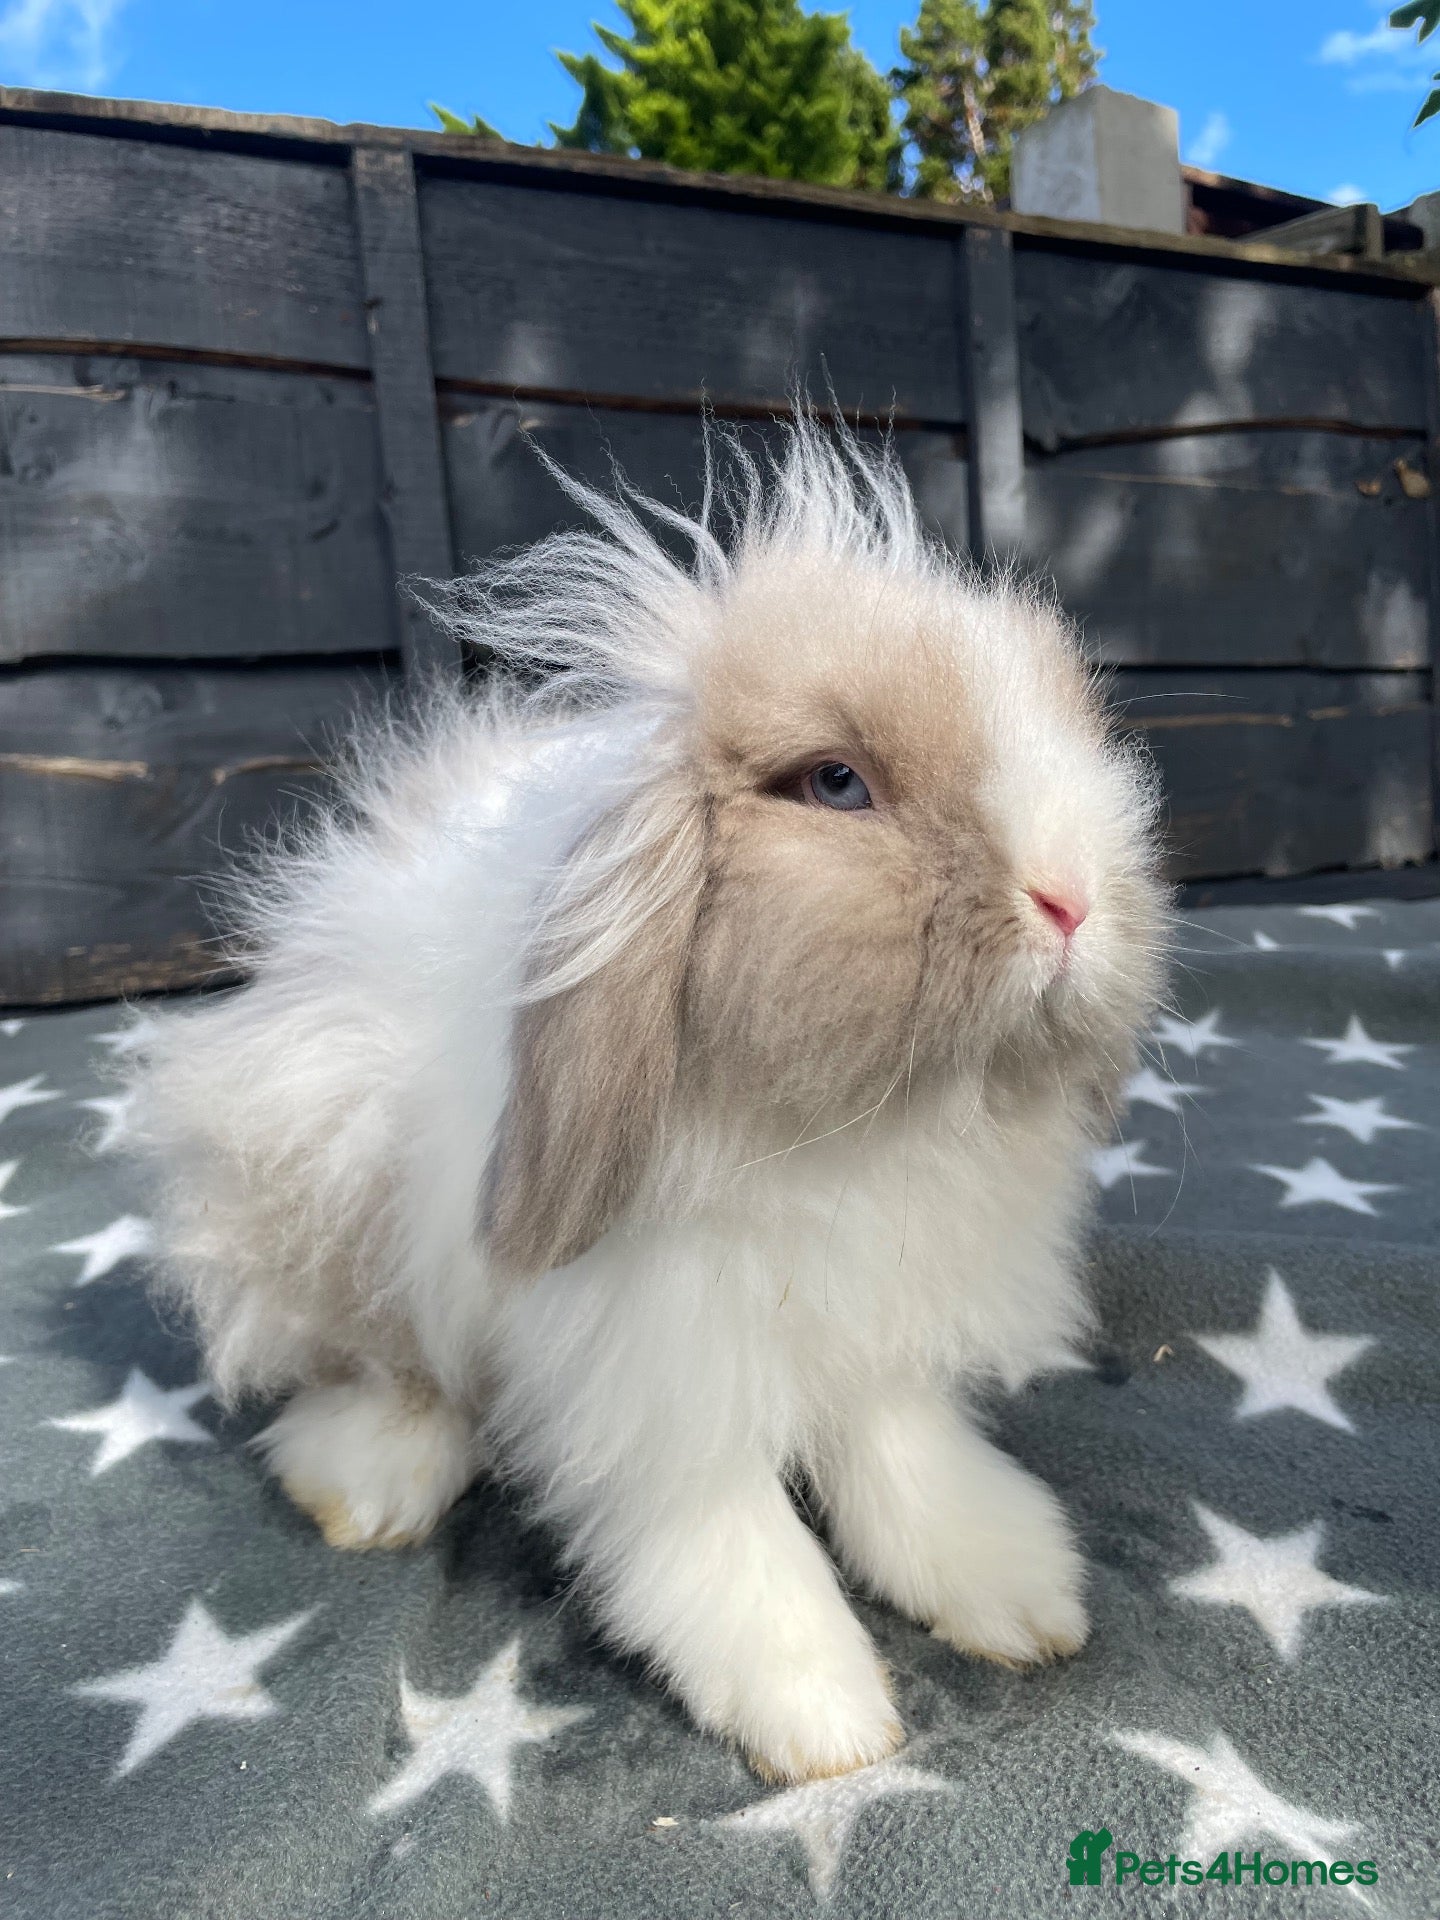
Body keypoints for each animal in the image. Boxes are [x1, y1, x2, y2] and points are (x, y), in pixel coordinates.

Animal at [123, 417, 1169, 1785]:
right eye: (836, 784)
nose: (1071, 898)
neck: (854, 1129)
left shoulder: (876, 1332)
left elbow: (904, 1458)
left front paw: (1011, 1590)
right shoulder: (657, 1370)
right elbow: (722, 1535)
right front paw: (822, 1716)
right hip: (323, 1177)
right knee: (387, 1371)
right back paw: (371, 1486)